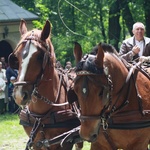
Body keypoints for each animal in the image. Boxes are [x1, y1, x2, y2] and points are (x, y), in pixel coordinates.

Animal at [8, 20, 82, 150]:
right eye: (16, 57)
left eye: (39, 56)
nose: (19, 95)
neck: (41, 117)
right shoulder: (36, 143)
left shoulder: (65, 143)